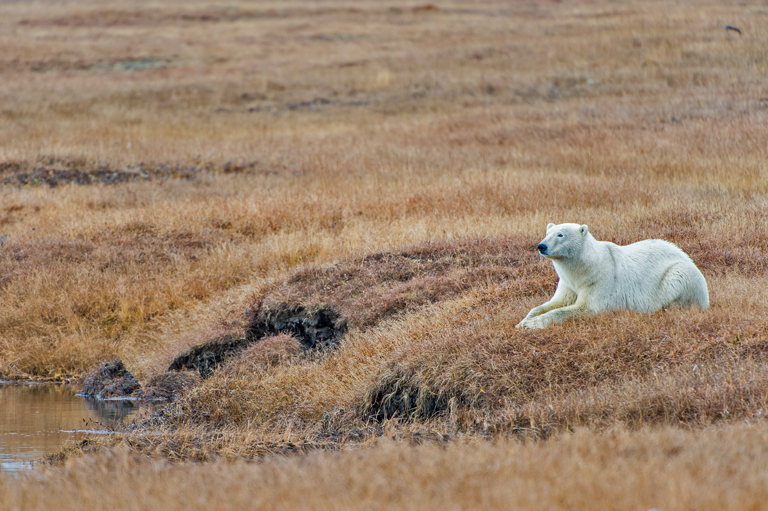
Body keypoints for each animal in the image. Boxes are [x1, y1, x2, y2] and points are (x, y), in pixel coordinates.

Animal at [516, 223, 708, 328]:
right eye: (547, 233)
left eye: (560, 234)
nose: (541, 246)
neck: (586, 267)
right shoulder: (568, 283)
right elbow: (555, 303)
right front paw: (522, 321)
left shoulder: (600, 280)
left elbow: (583, 308)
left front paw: (530, 325)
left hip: (679, 273)